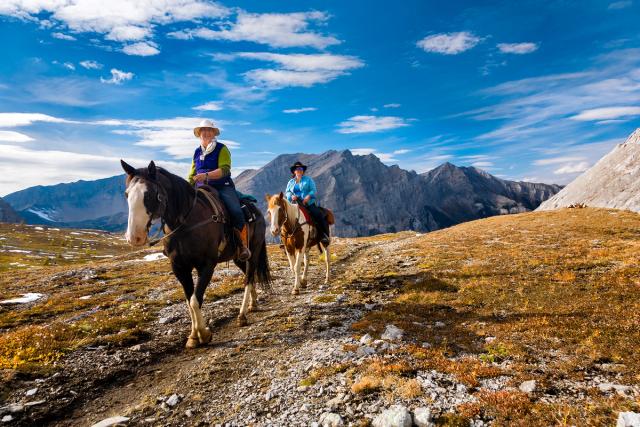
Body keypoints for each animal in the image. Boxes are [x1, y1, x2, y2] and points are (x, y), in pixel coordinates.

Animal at [121, 160, 268, 348]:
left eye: (150, 194)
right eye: (127, 194)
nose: (134, 237)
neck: (186, 223)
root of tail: (256, 211)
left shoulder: (206, 265)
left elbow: (195, 299)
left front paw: (203, 334)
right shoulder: (179, 268)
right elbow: (189, 301)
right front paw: (193, 336)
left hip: (254, 251)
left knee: (248, 278)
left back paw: (242, 316)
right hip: (238, 258)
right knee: (250, 276)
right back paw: (253, 304)